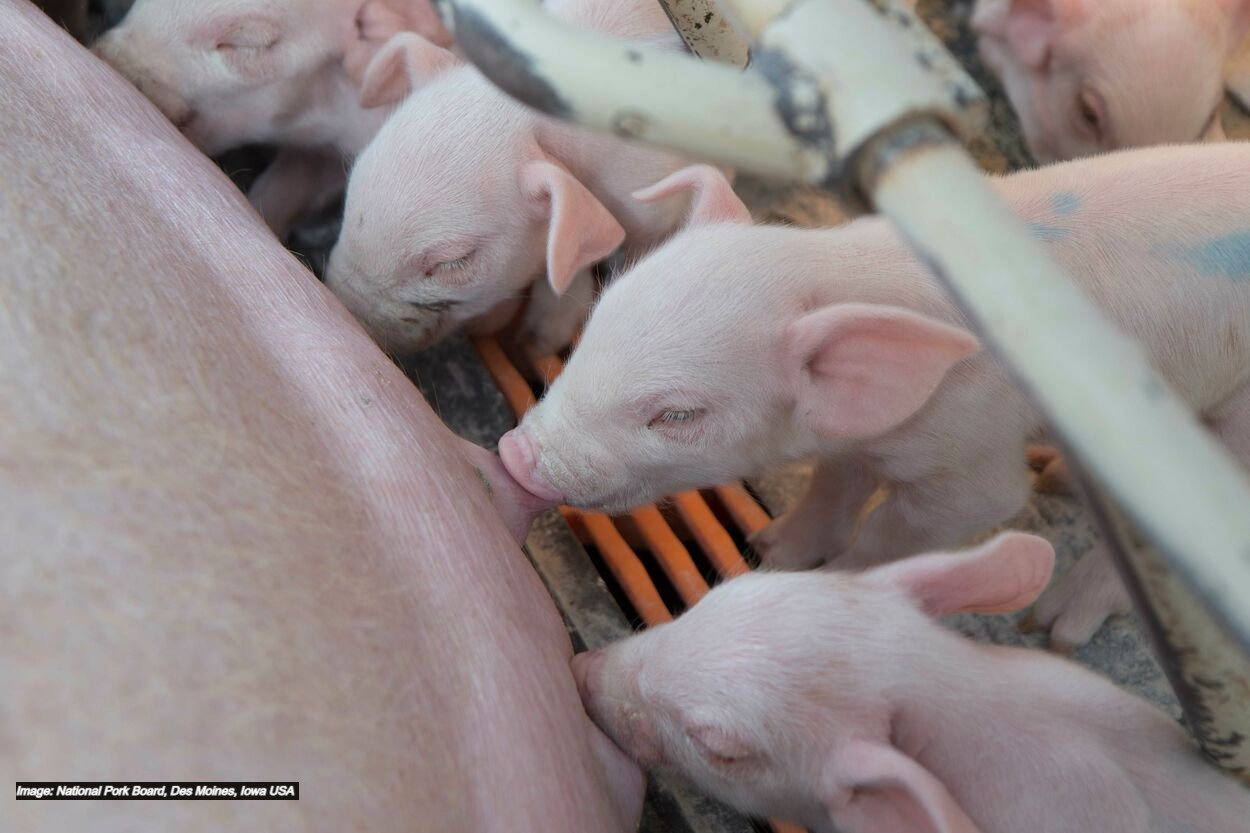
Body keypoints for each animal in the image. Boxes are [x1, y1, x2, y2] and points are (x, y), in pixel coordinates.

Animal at [324, 0, 700, 355]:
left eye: (454, 261)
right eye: (350, 193)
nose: (345, 307)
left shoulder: (652, 206)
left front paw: (535, 346)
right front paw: (527, 341)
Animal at [501, 145, 1250, 648]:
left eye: (678, 414)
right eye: (593, 328)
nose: (514, 453)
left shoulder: (971, 459)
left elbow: (918, 524)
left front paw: (820, 582)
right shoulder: (853, 438)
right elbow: (835, 485)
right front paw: (770, 546)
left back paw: (1052, 628)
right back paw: (1060, 480)